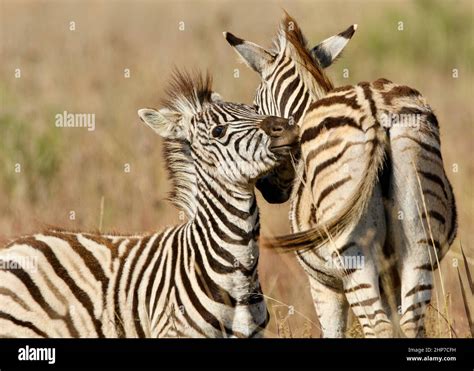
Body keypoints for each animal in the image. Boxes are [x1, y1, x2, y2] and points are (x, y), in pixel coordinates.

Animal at [225, 15, 456, 340]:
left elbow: (333, 331)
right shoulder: (391, 274)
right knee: (411, 323)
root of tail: (376, 108)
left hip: (352, 255)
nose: (268, 189)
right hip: (419, 237)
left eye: (257, 109)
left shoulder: (323, 284)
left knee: (378, 326)